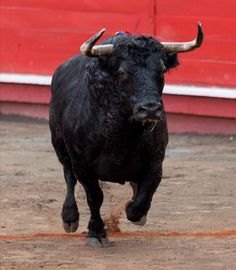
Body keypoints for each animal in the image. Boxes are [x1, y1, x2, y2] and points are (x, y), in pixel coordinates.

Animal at [48, 24, 203, 247]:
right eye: (122, 72)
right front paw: (97, 233)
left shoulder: (156, 161)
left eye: (161, 70)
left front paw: (136, 212)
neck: (123, 133)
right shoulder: (82, 164)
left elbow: (143, 196)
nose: (149, 109)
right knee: (69, 176)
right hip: (60, 145)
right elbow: (94, 196)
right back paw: (69, 217)